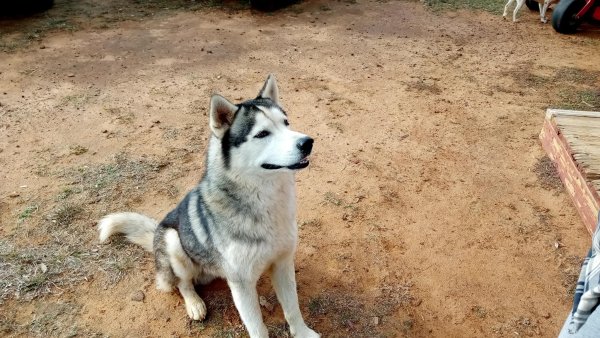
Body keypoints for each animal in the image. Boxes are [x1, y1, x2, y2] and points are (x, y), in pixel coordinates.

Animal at [98, 76, 322, 338]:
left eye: (286, 123)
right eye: (262, 134)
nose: (308, 142)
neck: (266, 200)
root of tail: (155, 232)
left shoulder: (283, 263)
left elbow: (293, 308)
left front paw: (303, 333)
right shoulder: (241, 284)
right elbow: (257, 328)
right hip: (173, 243)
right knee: (183, 284)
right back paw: (194, 304)